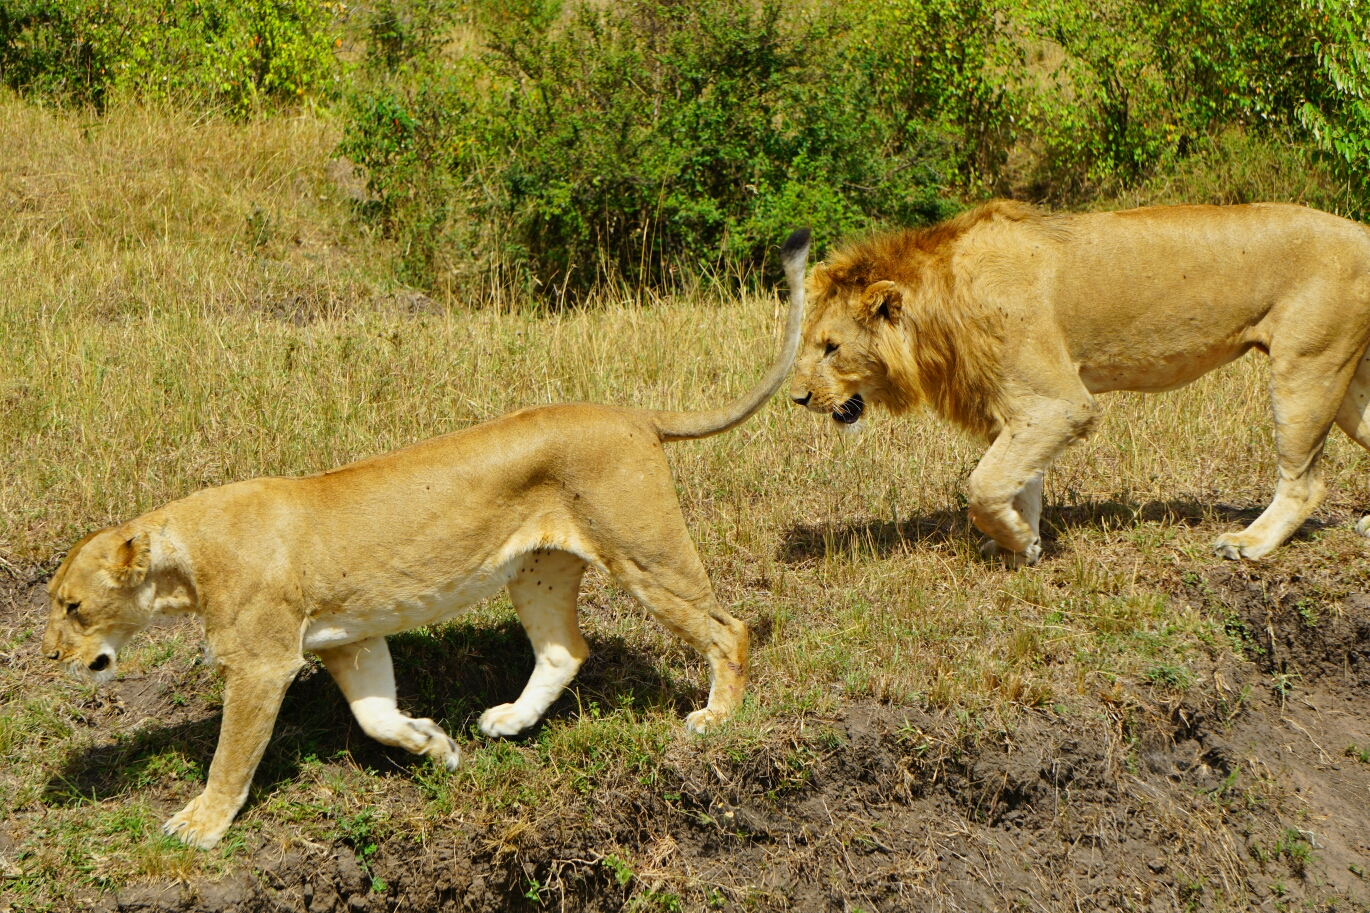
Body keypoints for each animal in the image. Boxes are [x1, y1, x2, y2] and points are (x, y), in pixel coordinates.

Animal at [42, 227, 805, 844]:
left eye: (73, 606)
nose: (50, 655)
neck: (181, 555)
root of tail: (633, 413)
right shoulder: (349, 641)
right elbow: (376, 716)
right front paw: (434, 744)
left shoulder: (261, 663)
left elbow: (233, 754)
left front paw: (199, 825)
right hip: (539, 568)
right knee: (565, 649)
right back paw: (507, 722)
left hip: (643, 550)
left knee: (728, 627)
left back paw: (715, 718)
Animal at [789, 201, 1370, 562]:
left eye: (831, 347)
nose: (798, 397)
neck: (940, 301)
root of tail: (1361, 230)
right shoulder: (1025, 408)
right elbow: (1019, 481)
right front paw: (1021, 546)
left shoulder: (1059, 403)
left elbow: (984, 485)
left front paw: (1017, 540)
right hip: (1345, 380)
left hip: (1306, 365)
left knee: (1305, 483)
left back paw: (1248, 544)